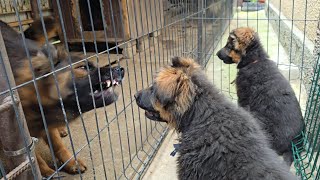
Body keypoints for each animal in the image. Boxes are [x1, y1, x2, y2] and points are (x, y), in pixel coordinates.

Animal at [0, 17, 125, 176]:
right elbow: (34, 158)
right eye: (83, 67)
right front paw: (47, 172)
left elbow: (58, 145)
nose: (120, 69)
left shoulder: (47, 123)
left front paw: (71, 162)